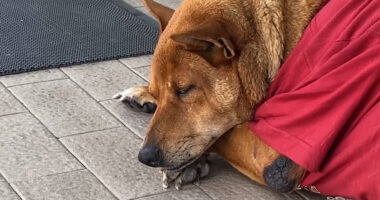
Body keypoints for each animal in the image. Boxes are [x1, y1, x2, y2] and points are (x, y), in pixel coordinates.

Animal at [113, 0, 324, 194]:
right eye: (157, 93)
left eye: (184, 89)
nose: (144, 156)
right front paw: (144, 94)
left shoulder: (272, 155)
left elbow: (224, 134)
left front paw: (191, 163)